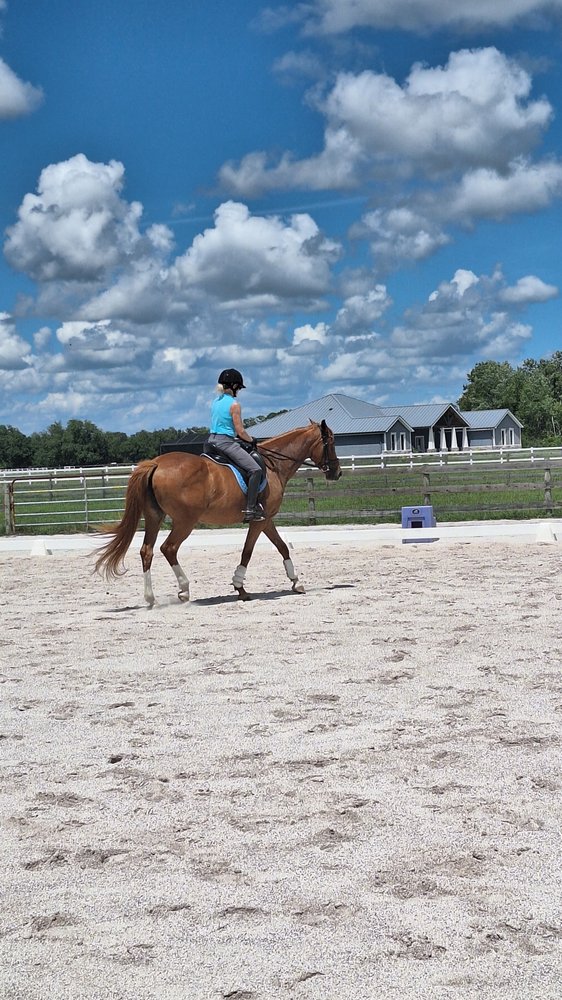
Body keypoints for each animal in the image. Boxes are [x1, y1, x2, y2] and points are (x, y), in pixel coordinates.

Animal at [94, 420, 341, 603]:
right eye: (330, 441)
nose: (336, 472)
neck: (274, 465)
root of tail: (156, 463)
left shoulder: (267, 519)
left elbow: (282, 548)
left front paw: (296, 582)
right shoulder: (259, 521)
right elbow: (247, 552)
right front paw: (240, 587)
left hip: (155, 517)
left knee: (147, 551)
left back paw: (150, 598)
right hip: (185, 521)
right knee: (169, 548)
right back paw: (184, 590)